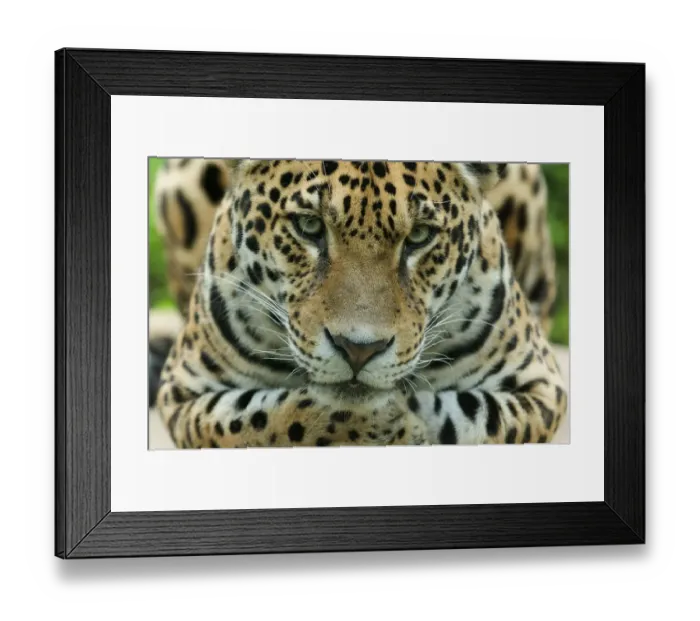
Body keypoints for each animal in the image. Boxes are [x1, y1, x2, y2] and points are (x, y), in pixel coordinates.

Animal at [152, 158, 567, 447]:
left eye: (420, 236)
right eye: (309, 226)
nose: (358, 350)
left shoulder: (542, 387)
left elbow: (466, 421)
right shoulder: (181, 392)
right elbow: (258, 421)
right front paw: (389, 423)